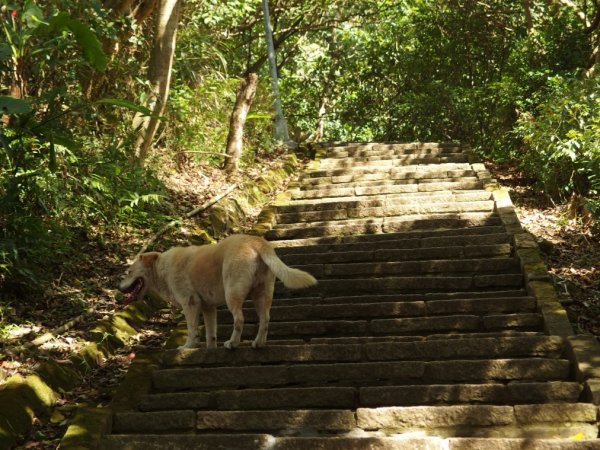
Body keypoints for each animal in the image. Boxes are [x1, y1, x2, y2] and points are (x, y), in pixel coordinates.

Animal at [118, 234, 318, 350]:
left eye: (129, 272)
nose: (118, 289)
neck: (161, 268)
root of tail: (256, 241)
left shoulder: (190, 303)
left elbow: (192, 330)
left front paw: (188, 347)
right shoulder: (208, 308)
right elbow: (210, 332)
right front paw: (210, 348)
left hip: (232, 292)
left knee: (239, 319)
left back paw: (233, 343)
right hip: (261, 293)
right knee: (265, 319)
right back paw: (258, 343)